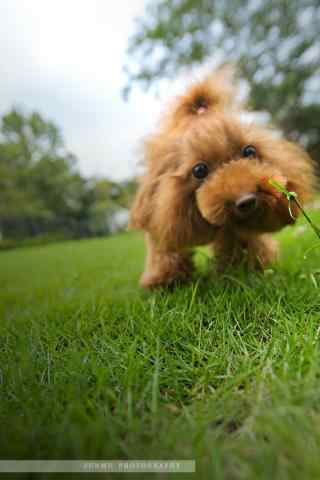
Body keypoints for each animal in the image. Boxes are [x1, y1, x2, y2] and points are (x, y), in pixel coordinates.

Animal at [129, 71, 316, 288]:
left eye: (249, 151)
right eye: (199, 170)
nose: (247, 201)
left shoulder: (235, 228)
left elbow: (241, 242)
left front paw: (244, 272)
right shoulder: (161, 218)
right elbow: (164, 248)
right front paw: (164, 281)